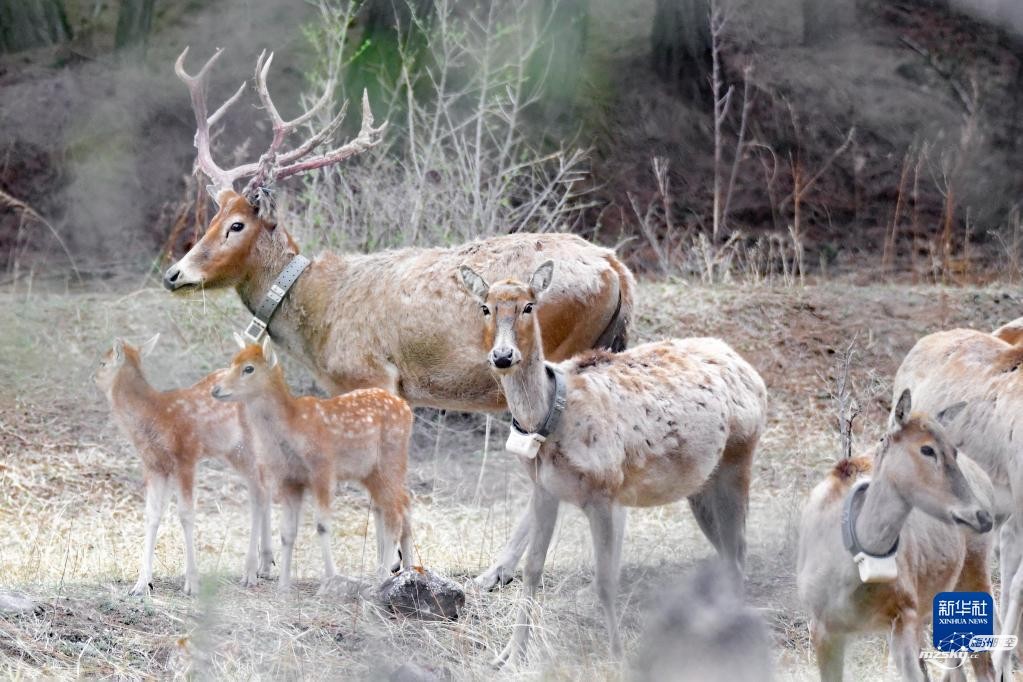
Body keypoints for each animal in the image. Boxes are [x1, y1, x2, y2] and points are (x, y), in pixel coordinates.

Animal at [92, 335, 272, 597]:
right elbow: (152, 514)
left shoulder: (185, 456)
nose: (92, 376)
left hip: (247, 446)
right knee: (264, 488)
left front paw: (192, 584)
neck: (154, 416)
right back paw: (265, 565)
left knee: (259, 493)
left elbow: (186, 514)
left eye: (103, 363)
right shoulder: (155, 465)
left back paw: (250, 572)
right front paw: (140, 584)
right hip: (233, 451)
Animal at [211, 333, 415, 588]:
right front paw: (283, 585)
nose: (216, 389)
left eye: (248, 368)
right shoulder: (289, 479)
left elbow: (322, 526)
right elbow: (287, 532)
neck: (292, 426)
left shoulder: (323, 469)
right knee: (403, 503)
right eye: (231, 362)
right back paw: (407, 571)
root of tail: (407, 410)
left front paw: (331, 578)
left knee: (394, 514)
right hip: (372, 472)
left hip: (389, 461)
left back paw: (382, 578)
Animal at [458, 258, 769, 662]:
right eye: (485, 307)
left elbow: (605, 580)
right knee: (727, 552)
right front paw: (510, 654)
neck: (551, 418)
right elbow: (533, 569)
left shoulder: (604, 492)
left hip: (740, 455)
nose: (503, 356)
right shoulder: (544, 490)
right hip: (701, 483)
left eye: (529, 306)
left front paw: (617, 655)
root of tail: (752, 372)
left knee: (739, 549)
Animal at [793, 392, 994, 682]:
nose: (982, 516)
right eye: (926, 449)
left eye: (953, 450)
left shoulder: (903, 614)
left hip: (974, 573)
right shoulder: (822, 626)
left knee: (986, 667)